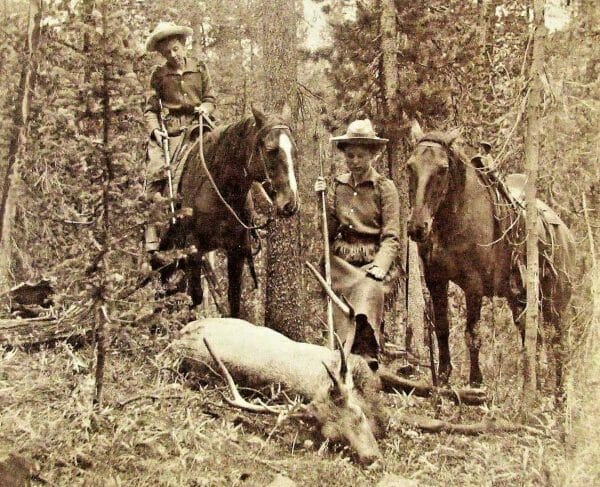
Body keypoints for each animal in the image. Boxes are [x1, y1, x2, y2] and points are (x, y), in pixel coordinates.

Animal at [161, 108, 298, 316]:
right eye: (270, 149)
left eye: (294, 151)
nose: (290, 203)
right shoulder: (194, 248)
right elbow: (196, 295)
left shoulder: (237, 250)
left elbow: (233, 300)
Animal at [406, 122, 576, 392]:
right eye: (410, 166)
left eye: (443, 169)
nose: (417, 227)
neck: (455, 221)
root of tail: (567, 236)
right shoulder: (436, 280)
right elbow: (442, 329)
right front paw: (442, 379)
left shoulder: (473, 285)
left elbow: (472, 334)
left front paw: (476, 384)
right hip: (519, 300)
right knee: (533, 340)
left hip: (556, 306)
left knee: (559, 347)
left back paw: (558, 398)